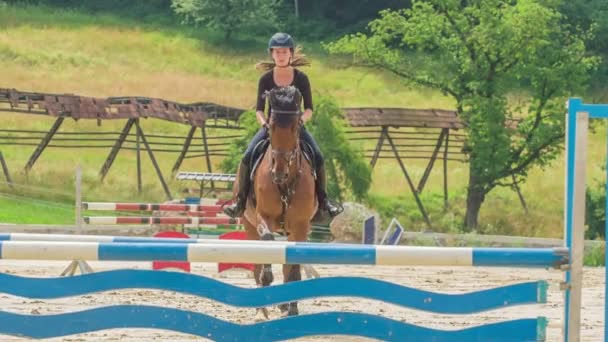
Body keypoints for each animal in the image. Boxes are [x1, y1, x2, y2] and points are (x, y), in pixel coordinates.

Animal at [234, 86, 318, 320]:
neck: (286, 184)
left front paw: (292, 309)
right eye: (270, 127)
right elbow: (267, 247)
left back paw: (284, 305)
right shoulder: (265, 218)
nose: (278, 173)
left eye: (295, 127)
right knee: (256, 265)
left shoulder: (300, 225)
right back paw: (261, 309)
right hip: (249, 224)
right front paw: (267, 282)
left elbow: (293, 269)